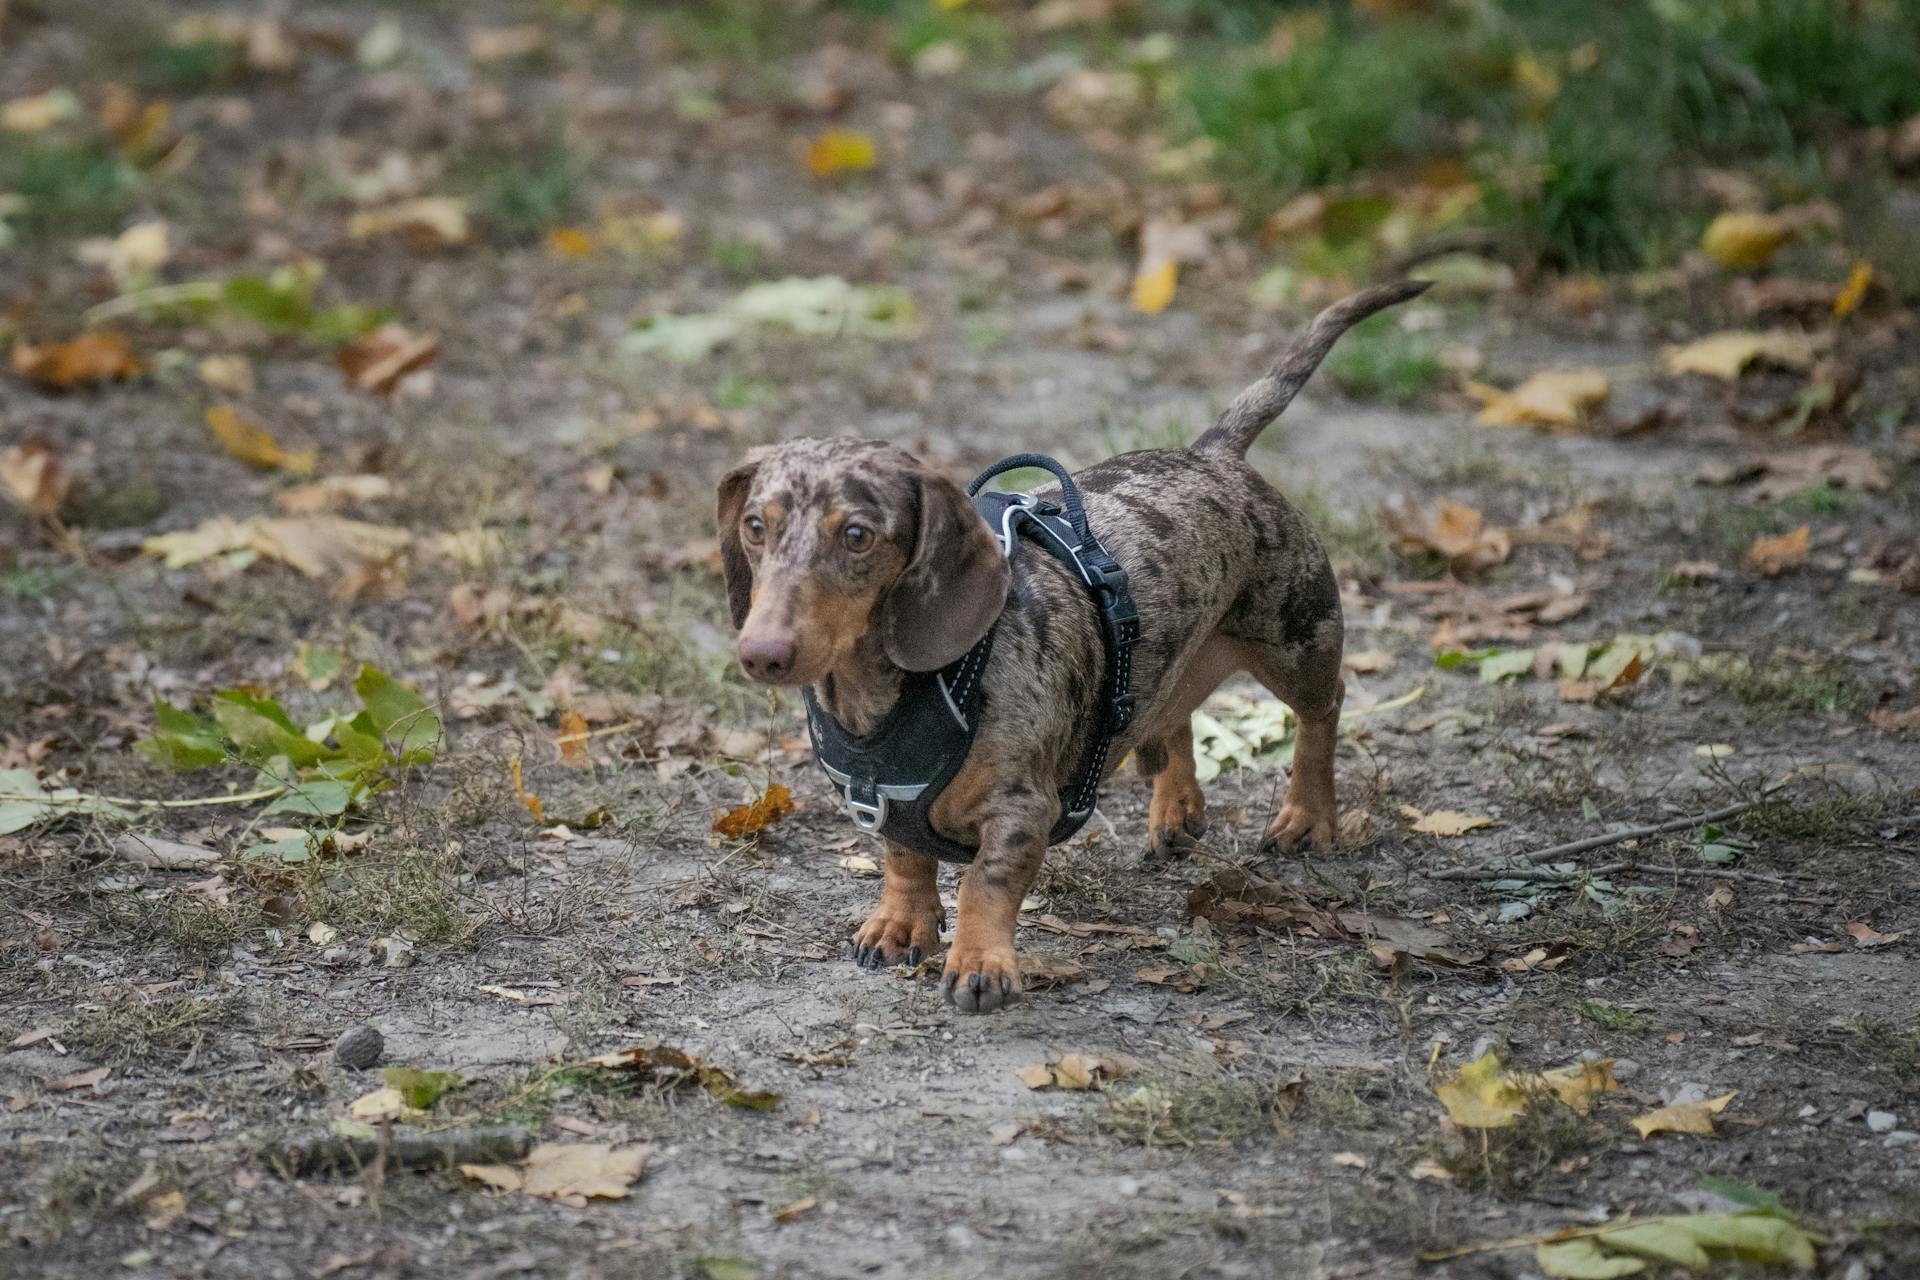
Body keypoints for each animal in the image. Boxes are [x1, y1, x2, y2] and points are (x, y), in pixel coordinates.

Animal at [718, 280, 1428, 1013]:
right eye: (755, 526)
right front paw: (898, 924)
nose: (762, 654)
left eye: (857, 535)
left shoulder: (1024, 809)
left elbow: (984, 882)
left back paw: (1307, 816)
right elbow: (906, 858)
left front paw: (980, 962)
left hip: (1297, 639)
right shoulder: (887, 807)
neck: (896, 695)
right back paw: (1176, 808)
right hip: (1162, 662)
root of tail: (1214, 452)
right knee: (1170, 714)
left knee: (1323, 709)